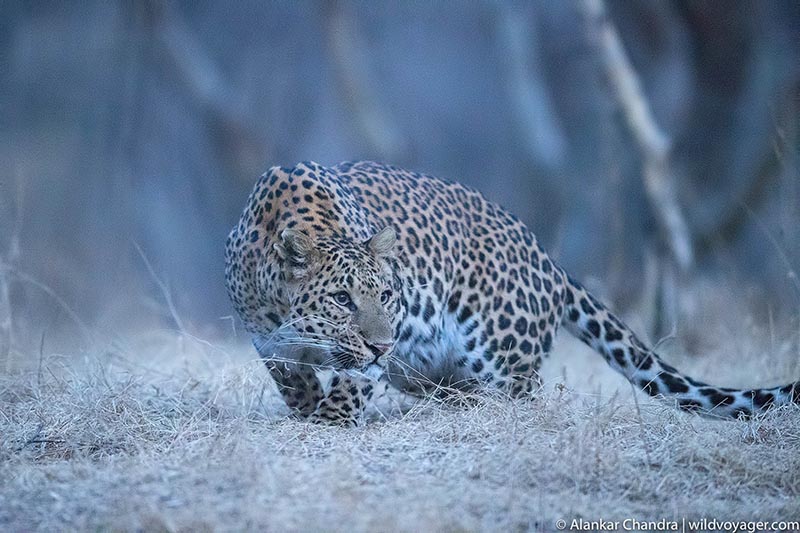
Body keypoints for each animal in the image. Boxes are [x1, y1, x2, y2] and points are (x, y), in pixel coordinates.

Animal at [225, 160, 799, 426]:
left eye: (387, 295)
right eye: (343, 300)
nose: (383, 345)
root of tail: (548, 258)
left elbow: (352, 380)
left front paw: (329, 420)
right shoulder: (265, 339)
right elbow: (290, 375)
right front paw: (304, 406)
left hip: (496, 350)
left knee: (521, 392)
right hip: (424, 370)